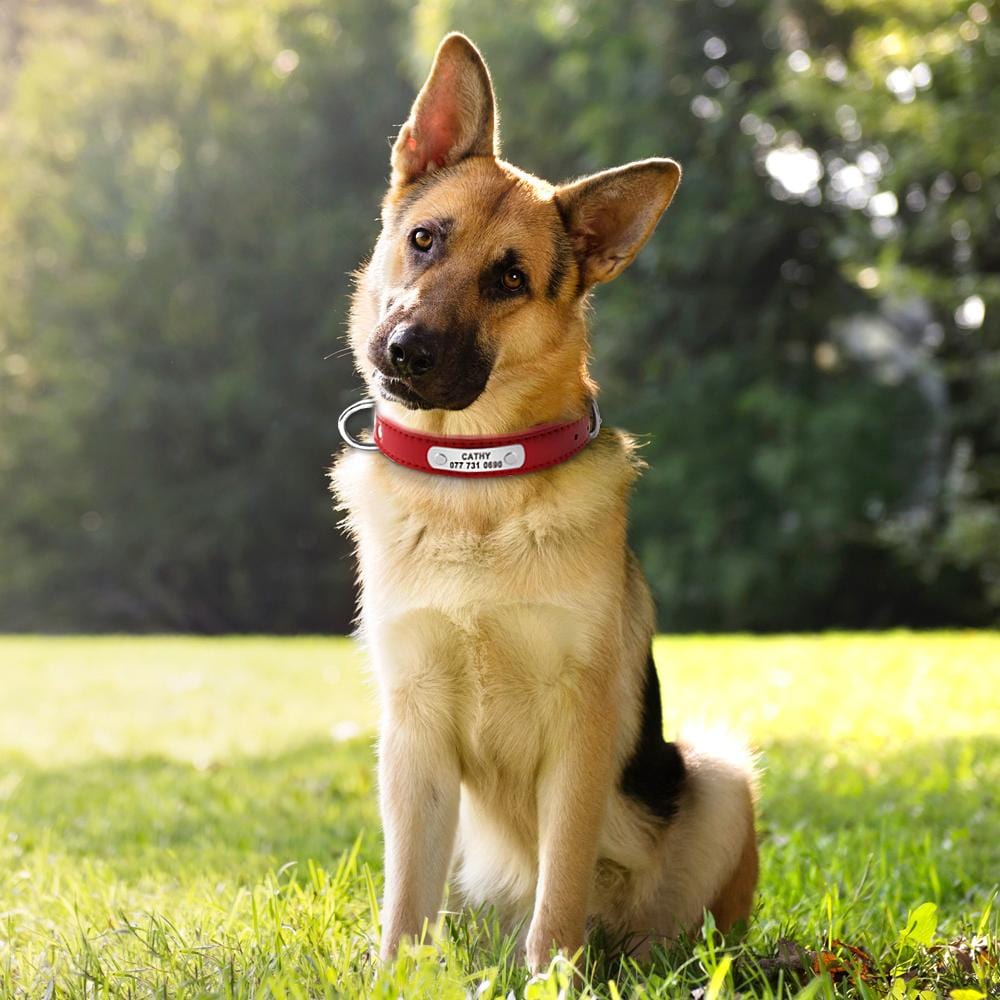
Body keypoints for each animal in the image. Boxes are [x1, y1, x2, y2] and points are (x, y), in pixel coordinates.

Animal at [330, 33, 756, 976]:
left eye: (511, 279)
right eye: (424, 240)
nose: (405, 351)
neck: (475, 480)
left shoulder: (581, 730)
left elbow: (559, 889)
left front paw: (555, 980)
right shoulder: (412, 736)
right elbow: (403, 901)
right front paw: (393, 978)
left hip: (717, 775)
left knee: (673, 926)